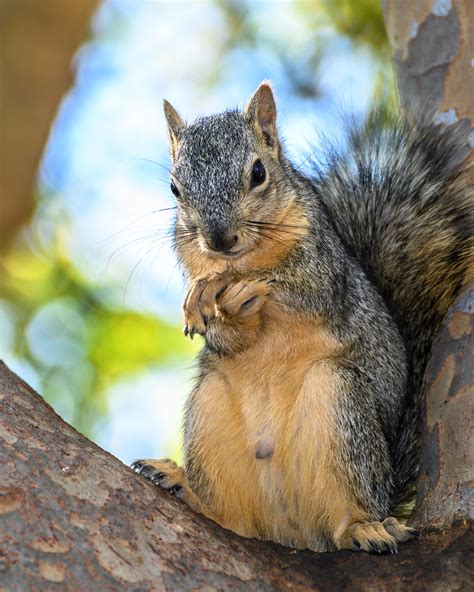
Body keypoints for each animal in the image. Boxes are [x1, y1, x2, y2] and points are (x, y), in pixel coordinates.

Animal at [131, 81, 472, 552]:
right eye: (174, 188)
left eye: (258, 173)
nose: (219, 239)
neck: (246, 253)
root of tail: (293, 532)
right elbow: (227, 339)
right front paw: (209, 300)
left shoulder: (325, 271)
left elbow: (298, 287)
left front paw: (228, 285)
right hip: (210, 409)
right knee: (231, 517)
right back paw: (186, 486)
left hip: (340, 401)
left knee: (345, 513)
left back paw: (363, 527)